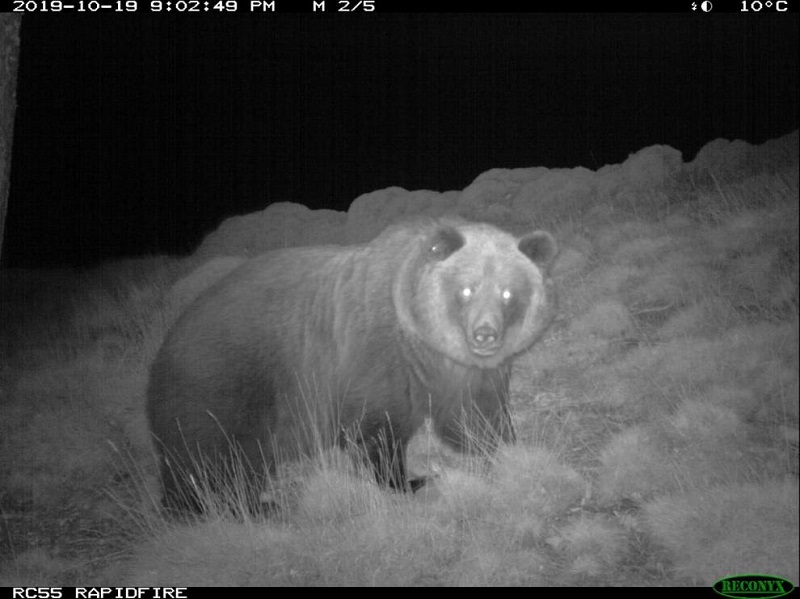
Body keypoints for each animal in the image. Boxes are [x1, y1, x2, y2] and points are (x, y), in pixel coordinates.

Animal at [147, 218, 556, 512]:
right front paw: (411, 481)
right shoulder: (374, 360)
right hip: (217, 393)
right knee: (210, 464)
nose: (485, 334)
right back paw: (245, 505)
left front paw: (507, 446)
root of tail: (163, 347)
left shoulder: (458, 373)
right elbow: (378, 432)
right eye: (467, 288)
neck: (421, 342)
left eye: (508, 292)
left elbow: (474, 415)